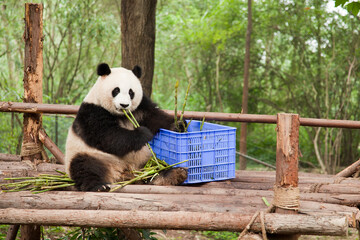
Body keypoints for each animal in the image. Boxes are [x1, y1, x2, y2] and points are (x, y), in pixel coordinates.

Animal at [65, 62, 188, 191]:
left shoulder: (141, 107)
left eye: (131, 92)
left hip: (145, 159)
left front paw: (178, 125)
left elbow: (155, 118)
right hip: (90, 155)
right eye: (116, 90)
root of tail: (121, 173)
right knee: (84, 167)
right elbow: (109, 137)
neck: (121, 115)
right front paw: (143, 134)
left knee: (154, 168)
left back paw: (173, 174)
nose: (124, 105)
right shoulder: (93, 112)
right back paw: (99, 186)